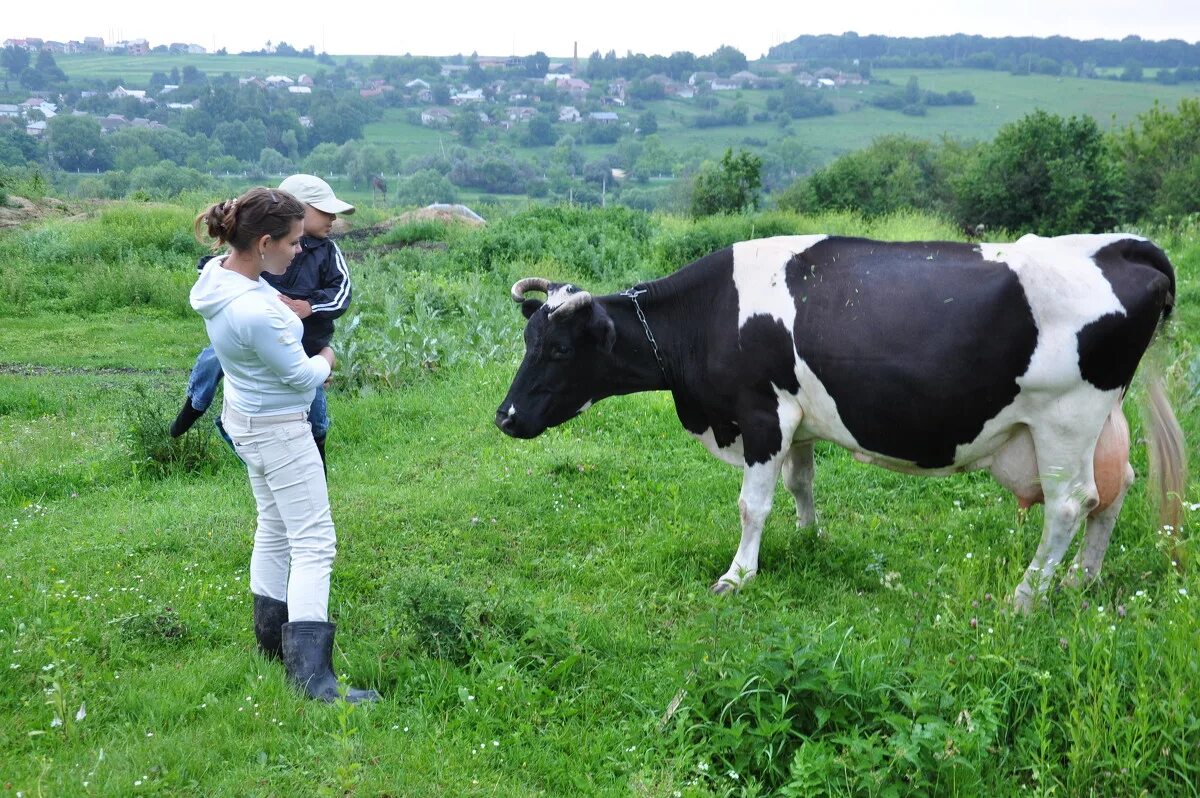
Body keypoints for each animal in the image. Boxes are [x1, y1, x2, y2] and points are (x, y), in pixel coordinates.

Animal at [492, 235, 1185, 609]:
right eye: (528, 338)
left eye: (560, 349)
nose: (504, 417)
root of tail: (1120, 246)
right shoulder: (795, 418)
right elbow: (800, 483)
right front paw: (809, 539)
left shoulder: (762, 413)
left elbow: (752, 505)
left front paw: (738, 575)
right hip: (1099, 421)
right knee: (1111, 495)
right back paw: (1082, 582)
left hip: (1065, 418)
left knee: (1069, 505)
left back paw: (1026, 596)